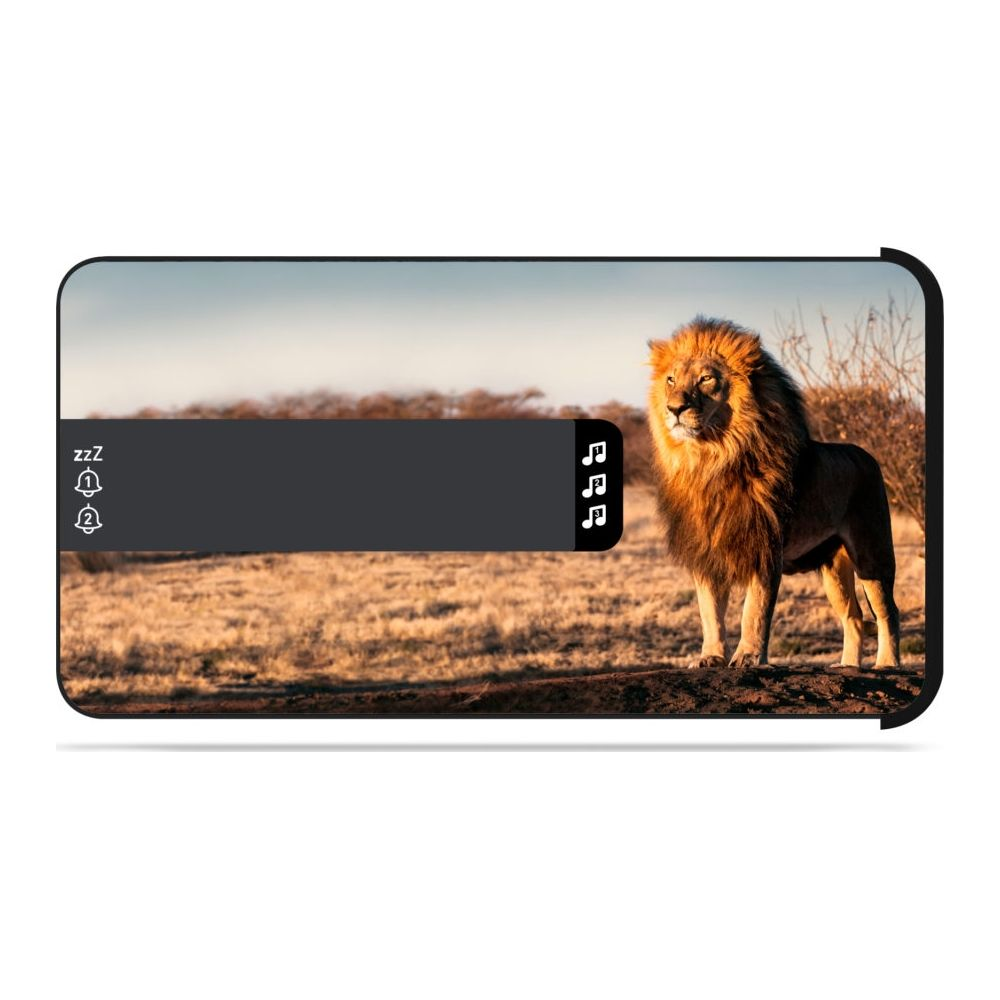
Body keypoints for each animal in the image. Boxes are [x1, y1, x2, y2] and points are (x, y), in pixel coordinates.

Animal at [647, 316, 900, 670]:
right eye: (670, 380)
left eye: (706, 379)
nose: (674, 408)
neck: (711, 461)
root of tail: (867, 455)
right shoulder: (706, 551)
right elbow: (709, 611)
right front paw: (710, 657)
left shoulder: (765, 547)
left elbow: (754, 610)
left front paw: (748, 657)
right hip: (833, 567)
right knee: (853, 616)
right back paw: (848, 666)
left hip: (872, 553)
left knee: (887, 611)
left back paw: (887, 664)